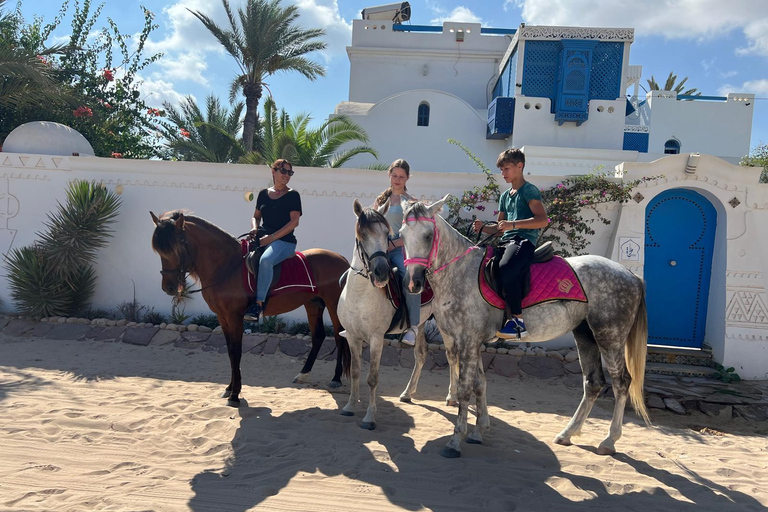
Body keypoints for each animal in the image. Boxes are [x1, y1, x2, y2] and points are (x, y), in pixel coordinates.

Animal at [148, 210, 352, 406]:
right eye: (159, 251)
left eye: (177, 248)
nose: (169, 287)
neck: (227, 266)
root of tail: (342, 259)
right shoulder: (222, 317)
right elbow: (230, 352)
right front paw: (229, 389)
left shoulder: (235, 317)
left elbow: (236, 352)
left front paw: (235, 395)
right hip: (313, 303)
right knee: (318, 336)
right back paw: (303, 374)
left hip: (333, 305)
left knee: (339, 336)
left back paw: (336, 378)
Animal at [336, 198, 450, 430]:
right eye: (362, 235)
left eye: (386, 235)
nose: (381, 272)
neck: (359, 295)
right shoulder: (352, 336)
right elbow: (355, 372)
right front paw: (350, 406)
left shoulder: (376, 338)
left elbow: (372, 378)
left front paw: (370, 417)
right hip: (421, 324)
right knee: (421, 353)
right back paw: (407, 393)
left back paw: (453, 398)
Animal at [400, 197, 652, 460]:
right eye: (402, 234)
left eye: (428, 235)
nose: (413, 282)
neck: (461, 272)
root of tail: (630, 274)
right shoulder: (471, 341)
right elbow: (480, 384)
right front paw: (479, 431)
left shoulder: (468, 341)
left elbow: (465, 389)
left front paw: (455, 441)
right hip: (585, 335)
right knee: (593, 383)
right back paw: (568, 433)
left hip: (610, 337)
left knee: (621, 383)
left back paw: (609, 440)